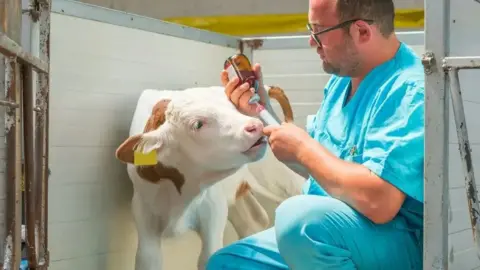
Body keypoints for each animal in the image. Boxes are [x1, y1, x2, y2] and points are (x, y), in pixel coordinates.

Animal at [114, 86, 298, 270]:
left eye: (233, 107)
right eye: (198, 124)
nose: (255, 126)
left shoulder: (213, 209)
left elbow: (208, 256)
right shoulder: (144, 215)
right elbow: (149, 259)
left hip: (280, 178)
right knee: (254, 221)